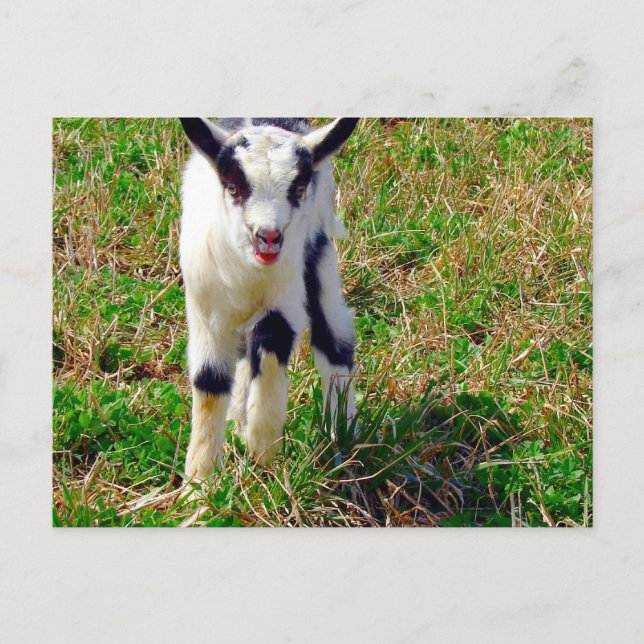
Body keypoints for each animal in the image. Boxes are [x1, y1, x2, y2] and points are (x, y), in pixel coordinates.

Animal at [178, 117, 359, 481]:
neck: (249, 274)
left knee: (334, 339)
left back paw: (341, 435)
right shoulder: (206, 313)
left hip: (318, 258)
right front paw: (199, 482)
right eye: (233, 187)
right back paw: (237, 424)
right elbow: (209, 382)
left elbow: (273, 341)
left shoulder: (286, 299)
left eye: (298, 188)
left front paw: (263, 445)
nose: (269, 237)